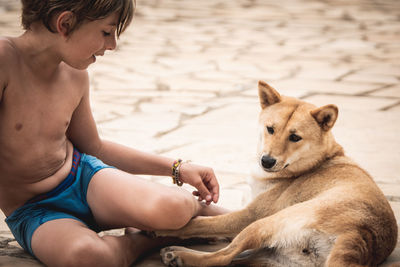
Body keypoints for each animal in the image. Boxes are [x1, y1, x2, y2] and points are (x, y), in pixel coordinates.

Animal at [155, 81, 396, 267]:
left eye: (295, 137)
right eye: (270, 129)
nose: (267, 161)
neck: (315, 163)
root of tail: (360, 233)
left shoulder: (250, 215)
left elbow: (203, 223)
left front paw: (168, 228)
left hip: (264, 224)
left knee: (223, 257)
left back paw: (179, 253)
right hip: (272, 257)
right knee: (235, 258)